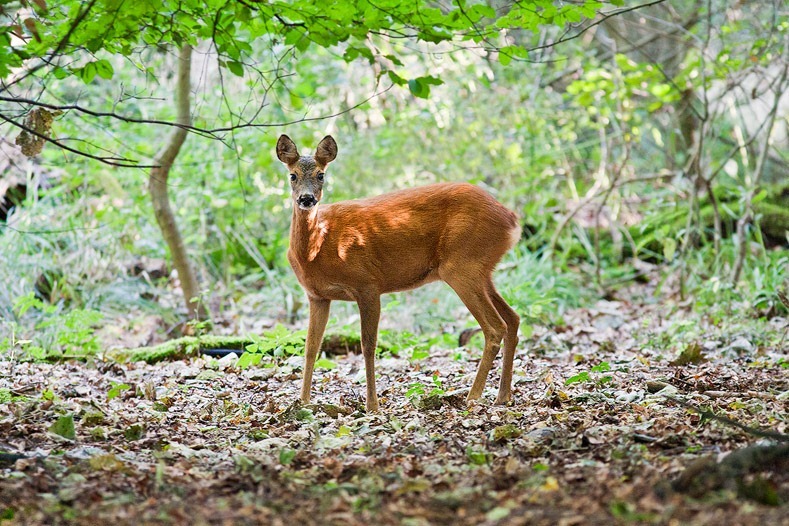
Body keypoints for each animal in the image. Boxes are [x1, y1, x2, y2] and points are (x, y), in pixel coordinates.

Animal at [274, 135, 520, 412]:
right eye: (292, 175)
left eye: (321, 175)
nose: (306, 199)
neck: (319, 246)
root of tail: (511, 219)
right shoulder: (317, 296)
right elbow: (311, 347)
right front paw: (303, 402)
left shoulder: (368, 284)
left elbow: (368, 345)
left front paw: (372, 405)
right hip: (481, 270)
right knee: (513, 318)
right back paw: (502, 395)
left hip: (462, 265)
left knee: (495, 327)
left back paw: (474, 395)